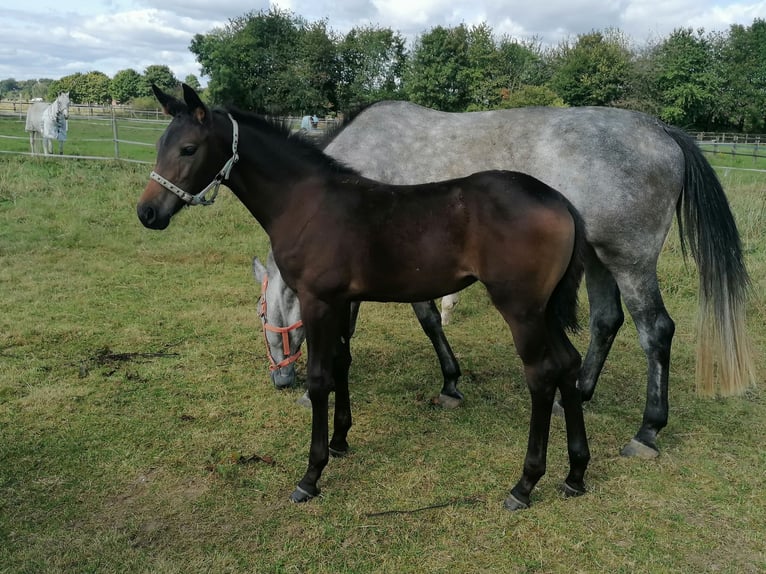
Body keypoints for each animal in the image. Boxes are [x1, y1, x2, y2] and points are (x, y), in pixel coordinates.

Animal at [138, 83, 592, 510]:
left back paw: (525, 484)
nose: (148, 213)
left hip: (521, 309)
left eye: (189, 148)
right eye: (160, 146)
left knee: (541, 375)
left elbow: (320, 378)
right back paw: (575, 473)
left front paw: (311, 474)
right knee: (568, 364)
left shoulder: (318, 300)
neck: (307, 204)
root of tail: (561, 200)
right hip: (544, 310)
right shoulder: (341, 301)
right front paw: (340, 440)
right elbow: (342, 361)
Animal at [260, 98, 756, 460]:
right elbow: (428, 318)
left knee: (655, 331)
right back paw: (576, 394)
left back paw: (648, 430)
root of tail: (661, 131)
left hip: (629, 261)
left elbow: (358, 329)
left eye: (263, 314)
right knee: (605, 322)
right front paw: (450, 383)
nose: (280, 381)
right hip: (599, 259)